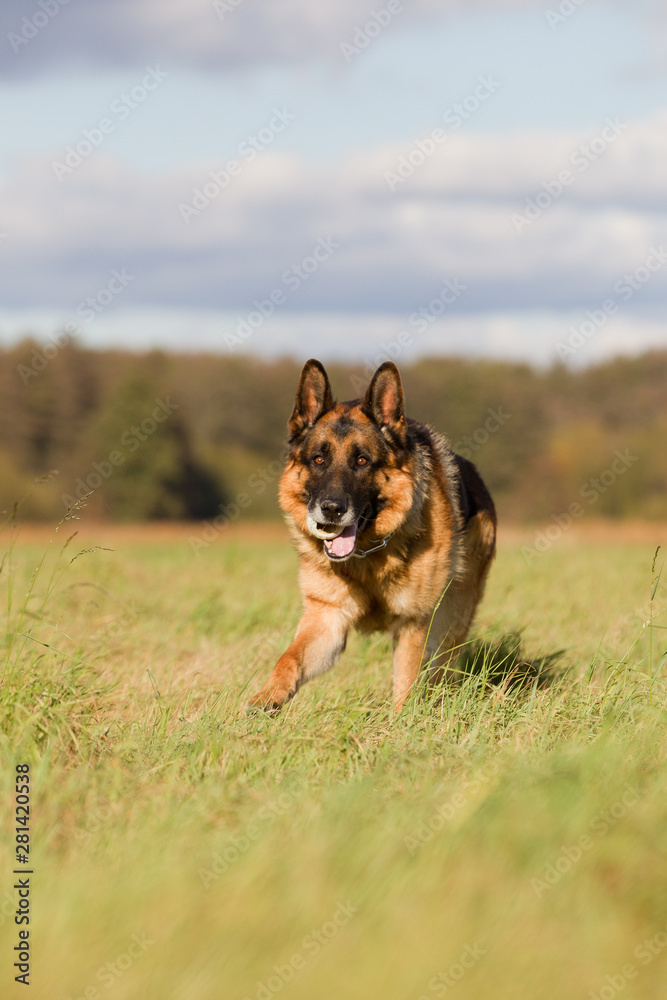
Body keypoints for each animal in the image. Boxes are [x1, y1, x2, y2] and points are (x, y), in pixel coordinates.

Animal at [249, 360, 496, 712]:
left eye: (362, 460)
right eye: (318, 460)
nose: (331, 509)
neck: (368, 554)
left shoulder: (413, 625)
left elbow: (404, 689)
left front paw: (399, 724)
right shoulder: (326, 618)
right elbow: (289, 658)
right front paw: (269, 696)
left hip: (449, 624)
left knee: (441, 673)